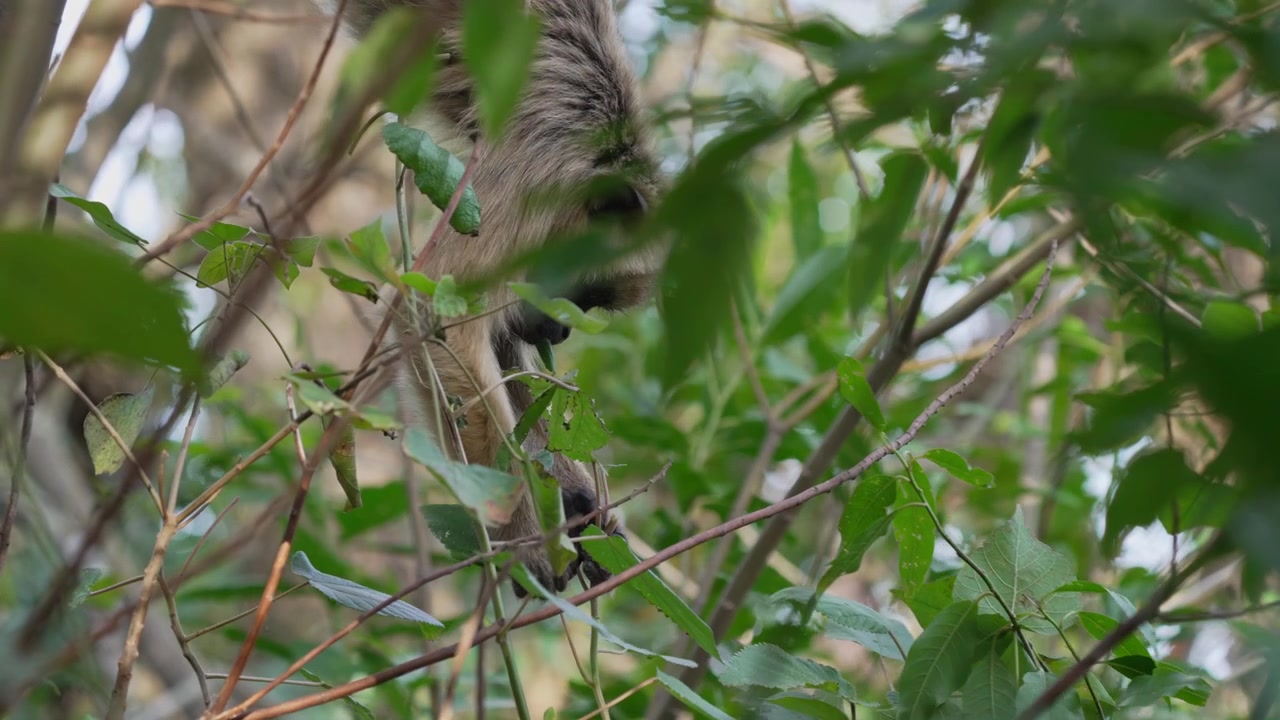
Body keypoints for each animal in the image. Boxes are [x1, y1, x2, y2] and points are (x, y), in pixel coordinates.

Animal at [332, 0, 667, 595]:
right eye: (580, 294)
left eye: (591, 307)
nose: (561, 331)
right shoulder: (531, 186)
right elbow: (433, 313)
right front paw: (525, 531)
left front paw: (578, 505)